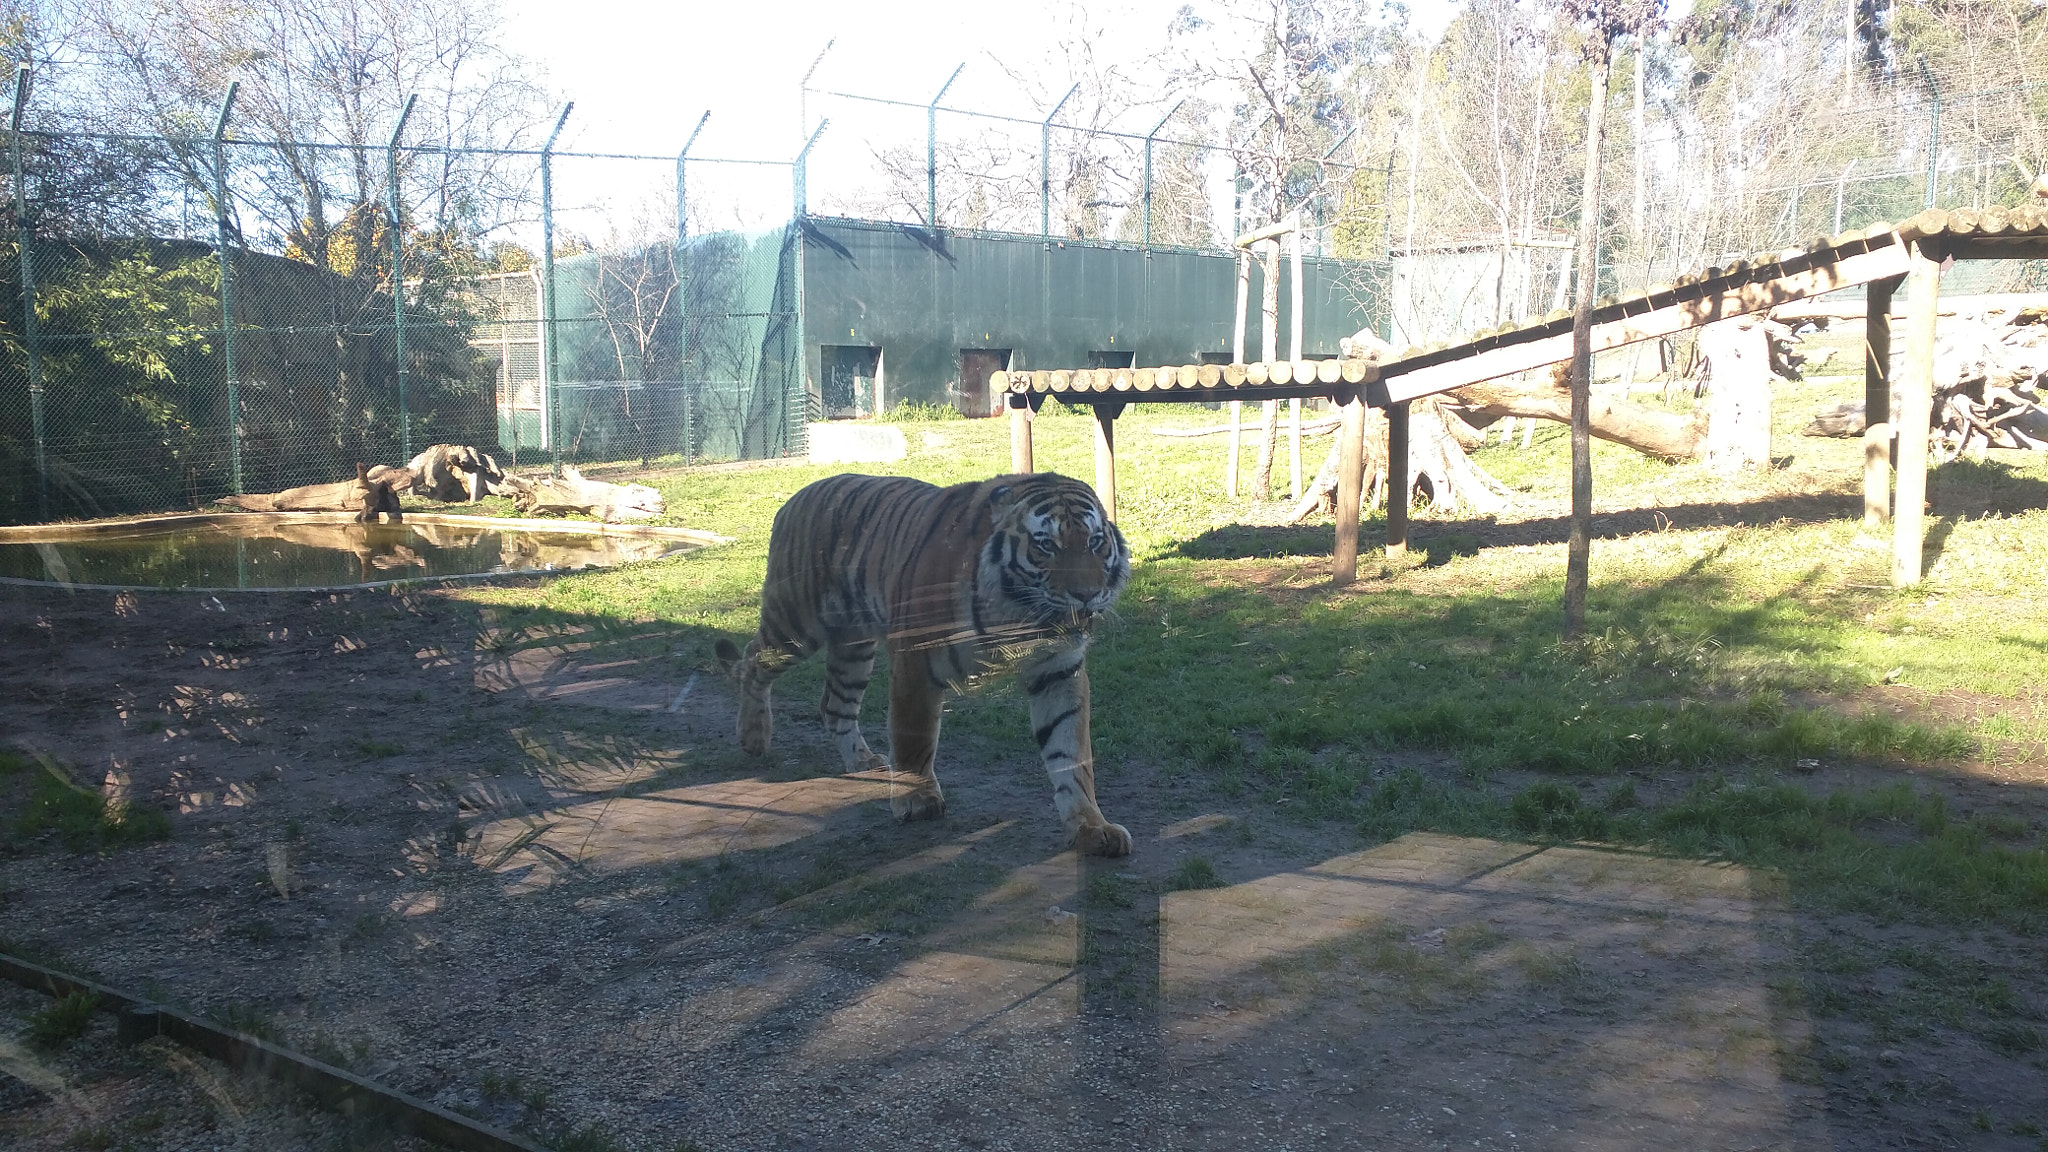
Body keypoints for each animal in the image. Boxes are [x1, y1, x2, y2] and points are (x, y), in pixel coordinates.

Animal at [713, 471, 1134, 856]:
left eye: (1095, 542)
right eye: (1046, 545)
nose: (1087, 594)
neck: (1020, 616)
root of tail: (795, 497)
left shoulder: (1059, 671)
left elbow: (1071, 754)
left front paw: (1091, 826)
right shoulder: (916, 658)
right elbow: (914, 735)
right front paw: (917, 800)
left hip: (853, 647)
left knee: (834, 705)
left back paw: (861, 759)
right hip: (794, 624)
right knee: (752, 661)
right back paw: (753, 737)